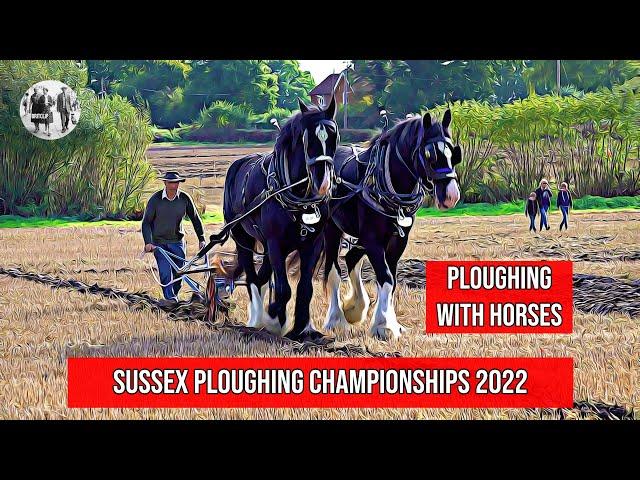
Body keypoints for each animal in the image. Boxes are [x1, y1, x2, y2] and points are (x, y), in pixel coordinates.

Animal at [222, 97, 338, 342]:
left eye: (334, 135)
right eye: (308, 138)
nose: (323, 182)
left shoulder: (312, 244)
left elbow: (305, 288)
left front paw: (302, 328)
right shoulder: (276, 242)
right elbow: (284, 289)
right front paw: (275, 318)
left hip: (266, 246)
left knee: (262, 277)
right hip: (242, 238)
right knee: (252, 278)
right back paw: (256, 317)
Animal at [322, 110, 462, 340]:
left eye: (453, 152)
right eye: (429, 155)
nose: (451, 195)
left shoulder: (397, 241)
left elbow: (391, 280)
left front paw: (389, 323)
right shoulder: (373, 239)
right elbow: (385, 278)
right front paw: (384, 326)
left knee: (351, 258)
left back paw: (355, 308)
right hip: (332, 230)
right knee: (333, 270)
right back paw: (336, 319)